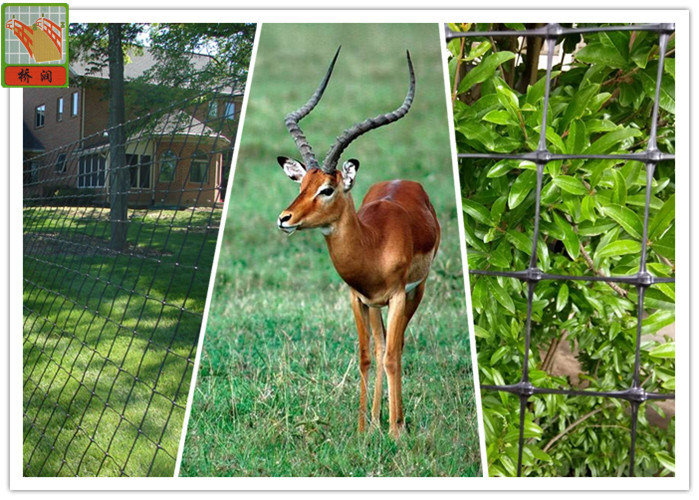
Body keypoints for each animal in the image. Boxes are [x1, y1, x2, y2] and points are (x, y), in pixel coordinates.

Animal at [275, 48, 440, 439]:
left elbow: (393, 356)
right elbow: (367, 356)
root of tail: (405, 181)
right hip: (376, 306)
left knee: (397, 346)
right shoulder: (357, 298)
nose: (285, 218)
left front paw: (395, 433)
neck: (373, 247)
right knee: (380, 347)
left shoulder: (397, 296)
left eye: (327, 189)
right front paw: (365, 429)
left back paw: (396, 421)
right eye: (301, 184)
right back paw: (379, 418)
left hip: (417, 290)